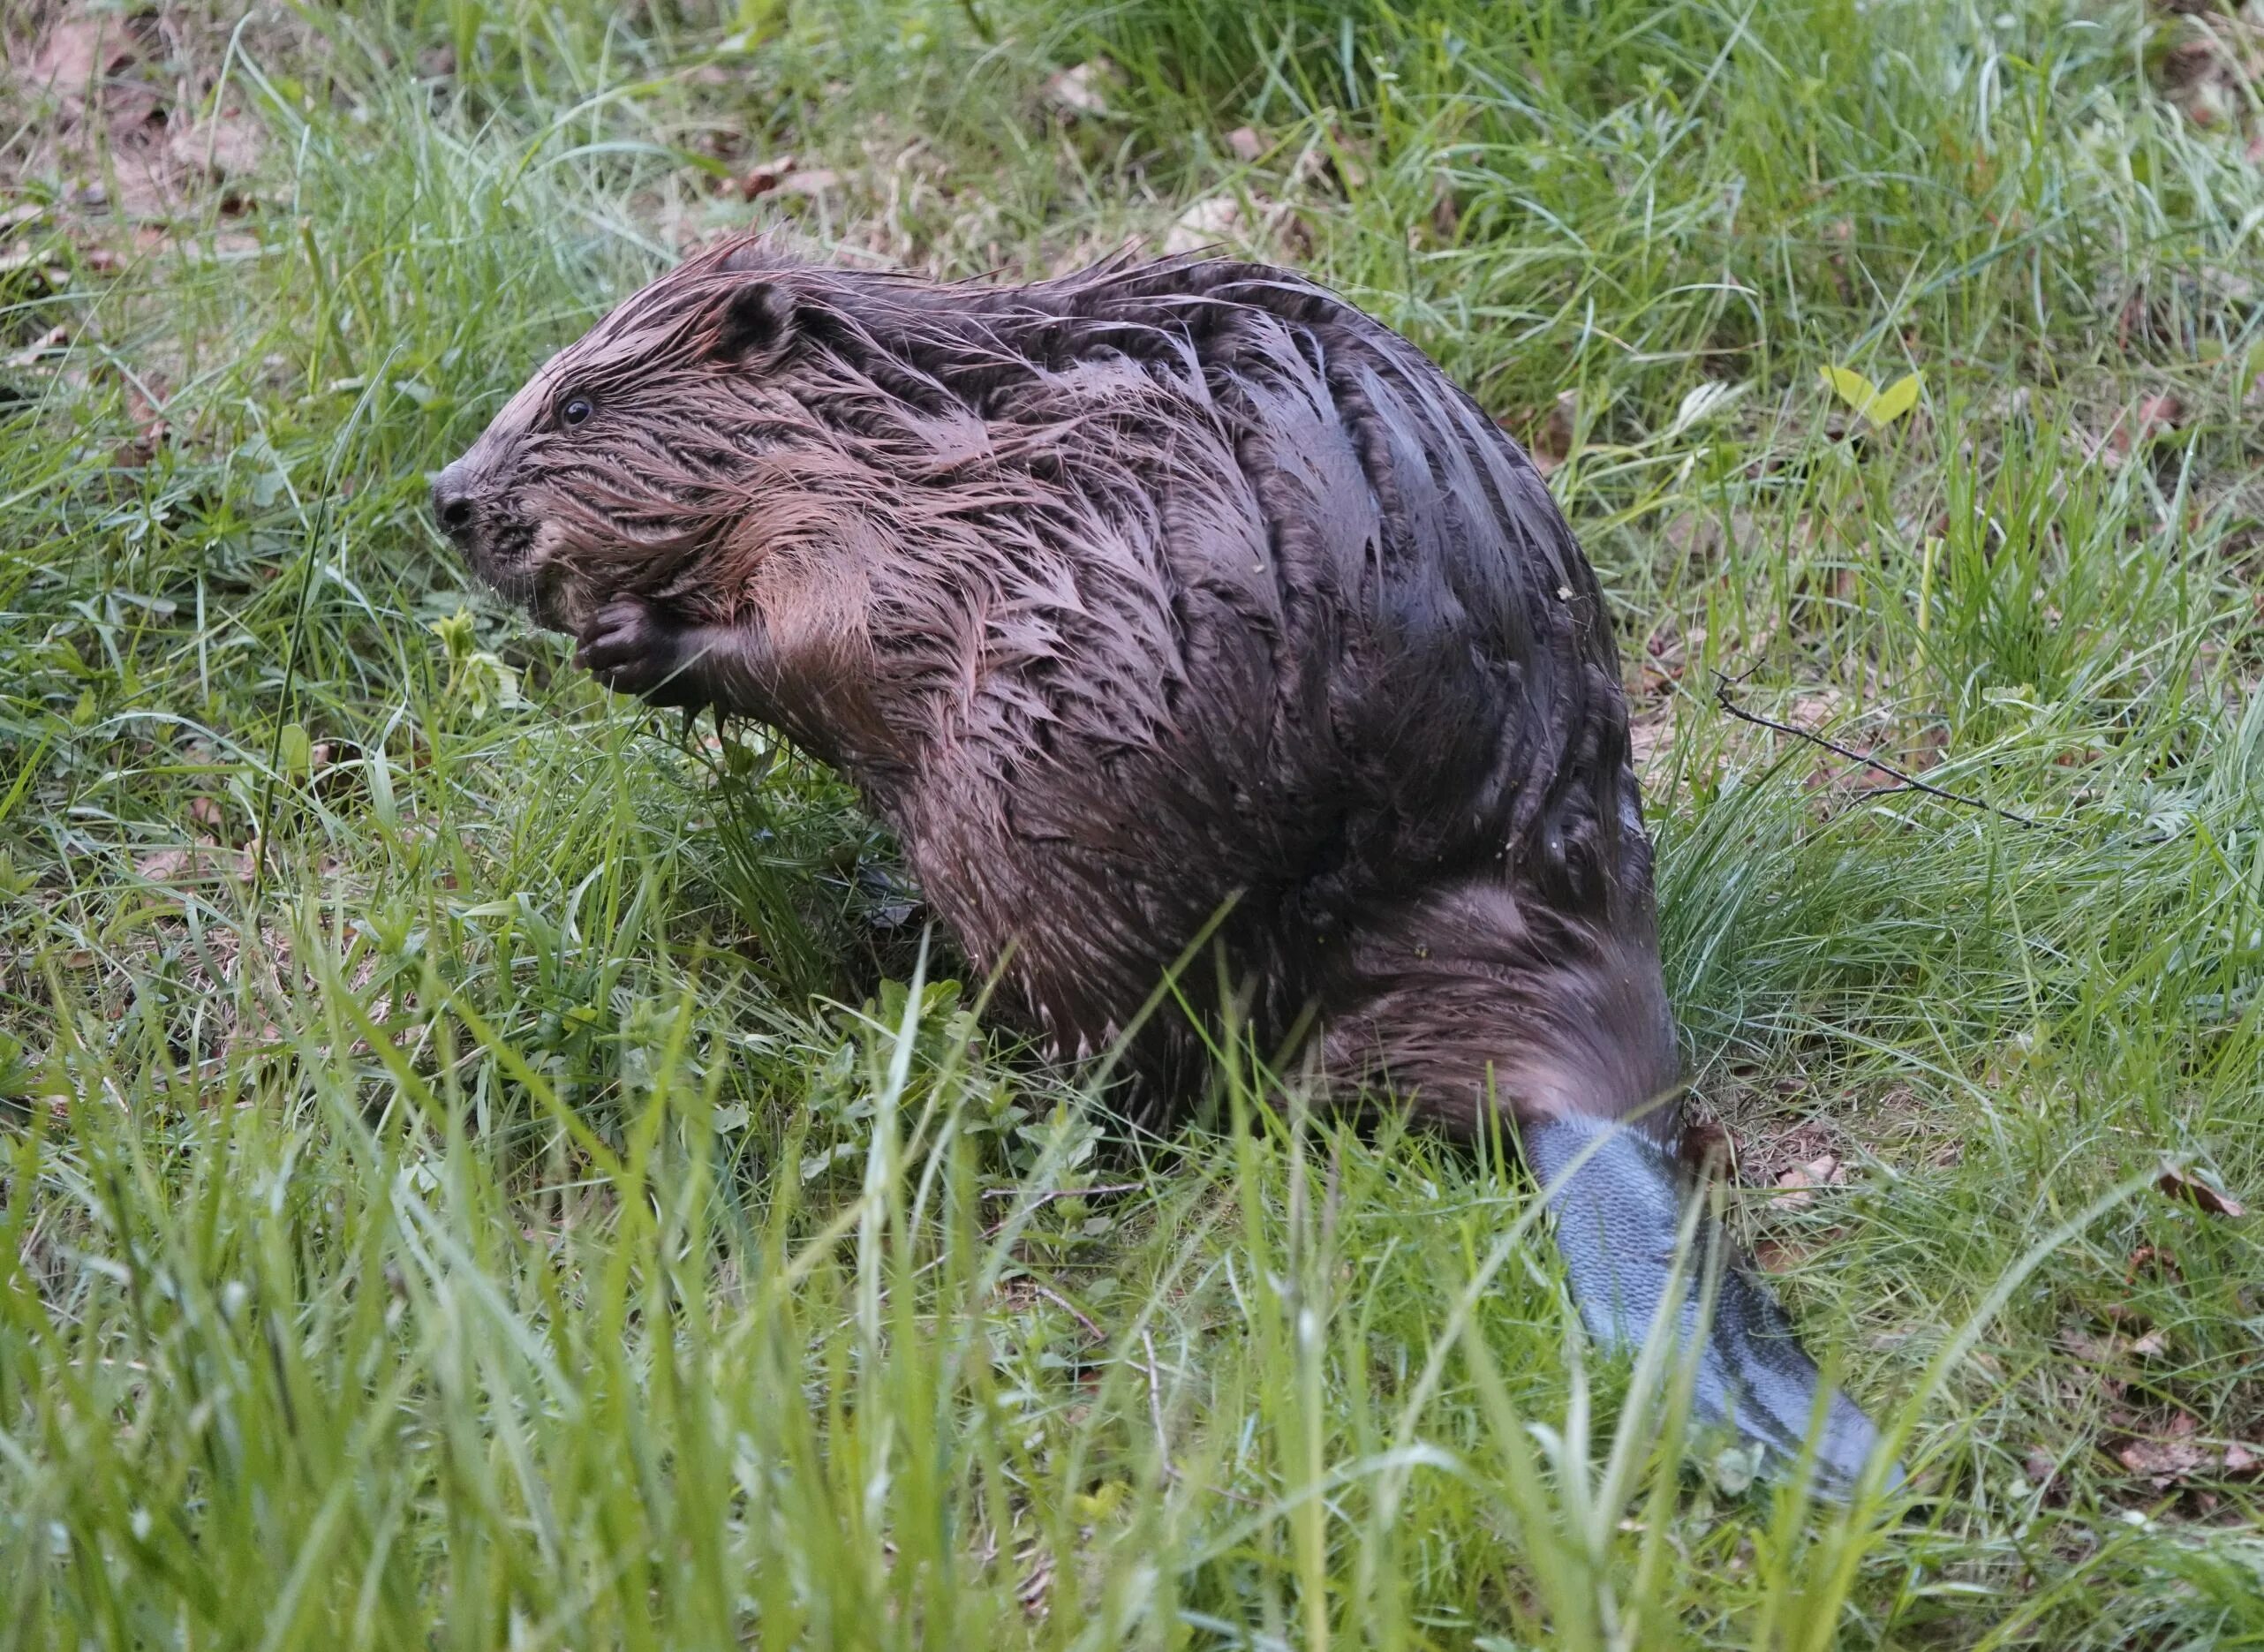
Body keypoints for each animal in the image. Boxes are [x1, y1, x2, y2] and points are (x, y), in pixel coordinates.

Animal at [432, 235, 1883, 1484]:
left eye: (575, 404)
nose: (448, 498)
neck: (906, 431)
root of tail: (1581, 1089)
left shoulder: (895, 547)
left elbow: (828, 647)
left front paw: (634, 639)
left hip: (1045, 837)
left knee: (1136, 1070)